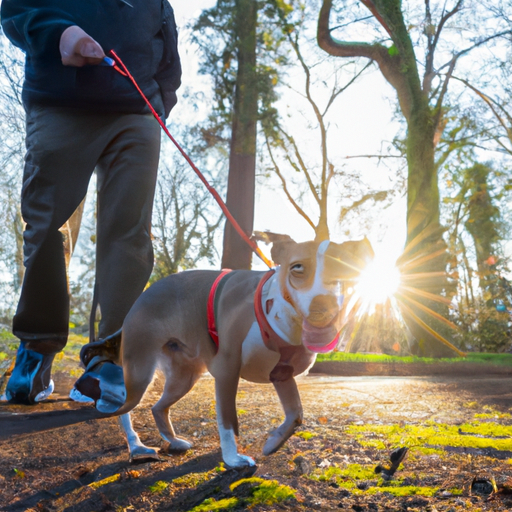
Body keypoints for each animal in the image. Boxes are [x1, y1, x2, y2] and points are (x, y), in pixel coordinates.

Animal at [113, 234, 372, 466]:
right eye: (297, 267)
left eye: (343, 267)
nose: (322, 305)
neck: (276, 309)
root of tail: (145, 293)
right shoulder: (227, 370)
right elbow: (228, 421)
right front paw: (232, 459)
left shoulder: (282, 374)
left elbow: (296, 414)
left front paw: (273, 442)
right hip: (140, 371)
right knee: (123, 409)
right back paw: (136, 445)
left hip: (184, 377)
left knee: (158, 408)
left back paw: (174, 441)